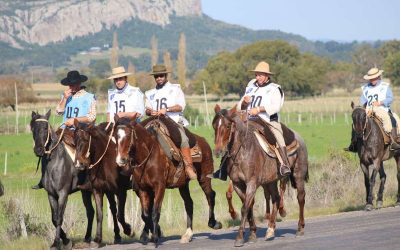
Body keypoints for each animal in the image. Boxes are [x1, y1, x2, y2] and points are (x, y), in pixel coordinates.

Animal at [30, 111, 94, 250]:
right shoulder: (51, 194)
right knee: (90, 212)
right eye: (33, 128)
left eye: (45, 128)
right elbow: (54, 218)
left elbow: (59, 218)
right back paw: (87, 238)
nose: (38, 150)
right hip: (85, 191)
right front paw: (65, 240)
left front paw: (57, 243)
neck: (54, 162)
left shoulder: (63, 194)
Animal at [113, 114, 222, 246]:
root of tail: (203, 141)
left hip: (204, 177)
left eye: (129, 135)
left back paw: (214, 223)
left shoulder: (159, 187)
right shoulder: (143, 189)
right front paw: (149, 235)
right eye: (115, 135)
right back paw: (188, 234)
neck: (149, 156)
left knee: (210, 195)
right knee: (189, 203)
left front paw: (155, 237)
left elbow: (155, 213)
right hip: (183, 185)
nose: (121, 160)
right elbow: (145, 215)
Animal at [212, 105, 310, 246]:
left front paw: (239, 237)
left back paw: (299, 228)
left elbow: (244, 208)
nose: (218, 151)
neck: (242, 151)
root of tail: (299, 138)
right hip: (271, 181)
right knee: (276, 198)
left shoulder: (252, 183)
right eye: (214, 125)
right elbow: (248, 207)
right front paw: (252, 234)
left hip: (298, 175)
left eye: (228, 126)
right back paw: (270, 229)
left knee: (300, 198)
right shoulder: (237, 184)